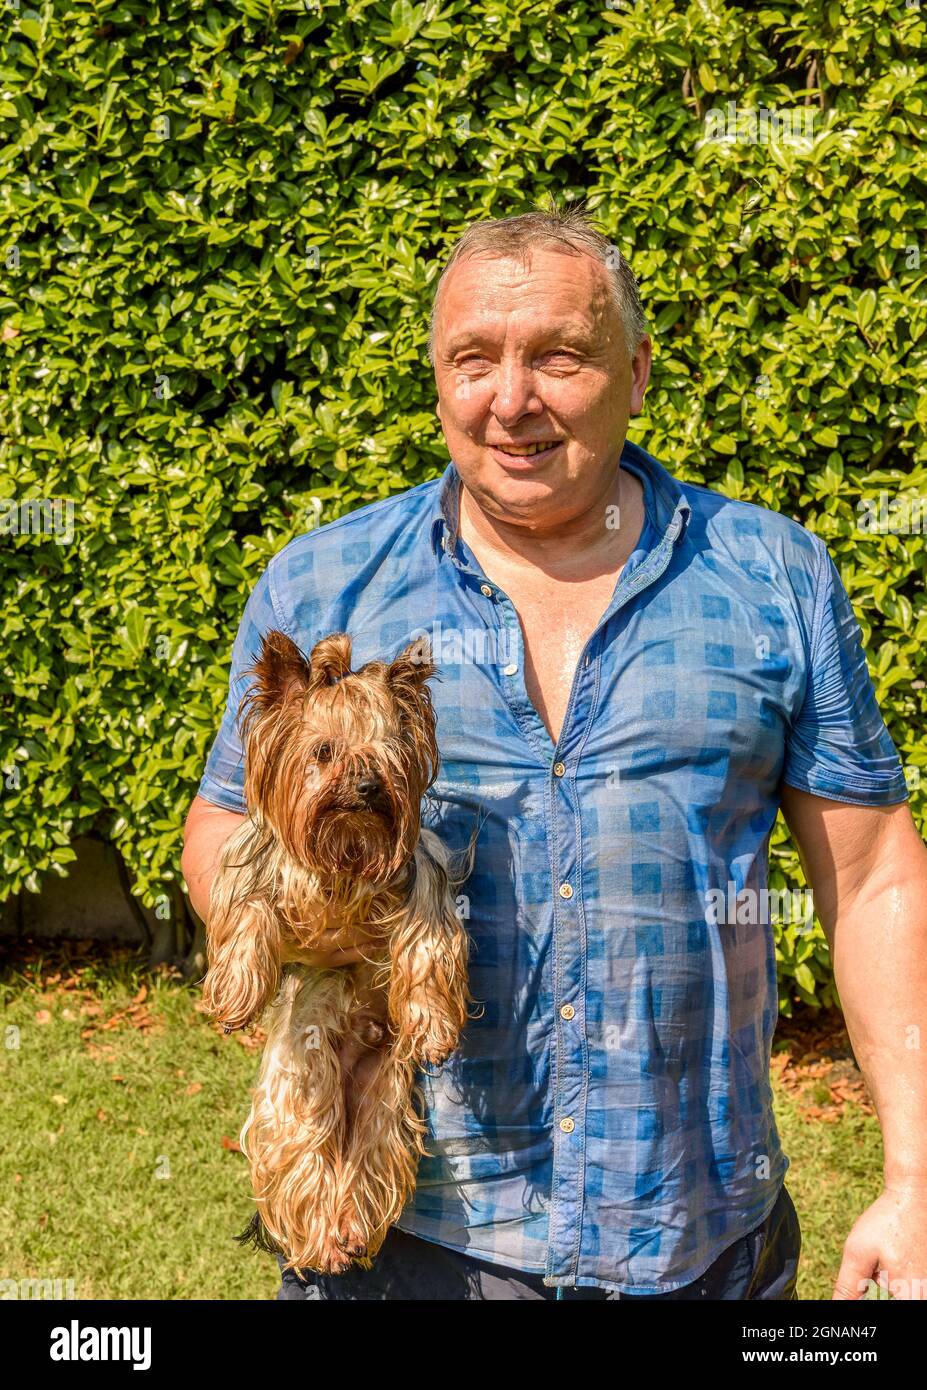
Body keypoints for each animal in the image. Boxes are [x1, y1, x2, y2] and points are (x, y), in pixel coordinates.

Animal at [205, 636, 475, 1273]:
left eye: (387, 752)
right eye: (324, 751)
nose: (368, 787)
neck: (348, 847)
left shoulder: (421, 873)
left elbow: (429, 943)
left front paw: (432, 1022)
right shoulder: (255, 861)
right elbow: (249, 912)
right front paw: (238, 993)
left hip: (386, 1091)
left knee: (371, 1152)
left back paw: (349, 1227)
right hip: (301, 1079)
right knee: (306, 1147)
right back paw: (323, 1236)